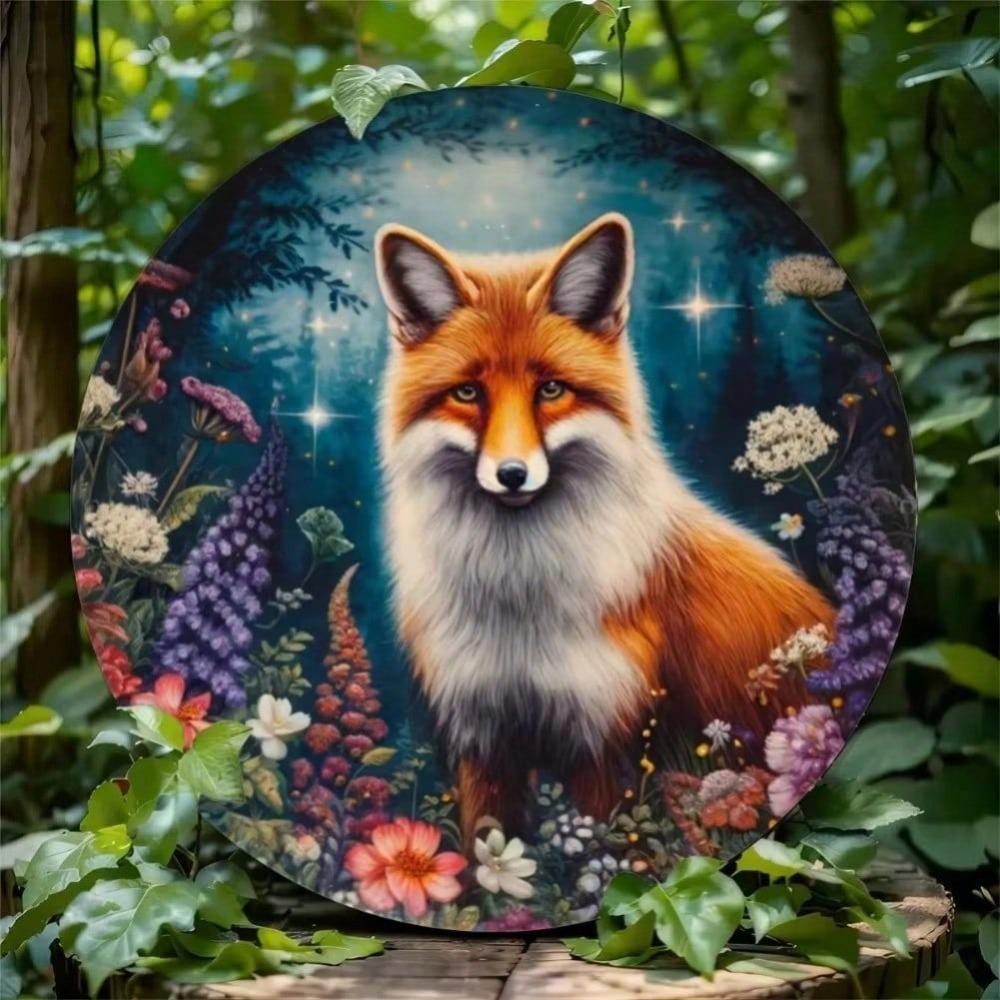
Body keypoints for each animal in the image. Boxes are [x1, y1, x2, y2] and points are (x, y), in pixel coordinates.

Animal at [374, 212, 836, 845]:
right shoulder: (482, 736)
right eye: (468, 393)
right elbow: (482, 853)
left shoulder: (601, 740)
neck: (518, 605)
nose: (512, 474)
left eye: (551, 389)